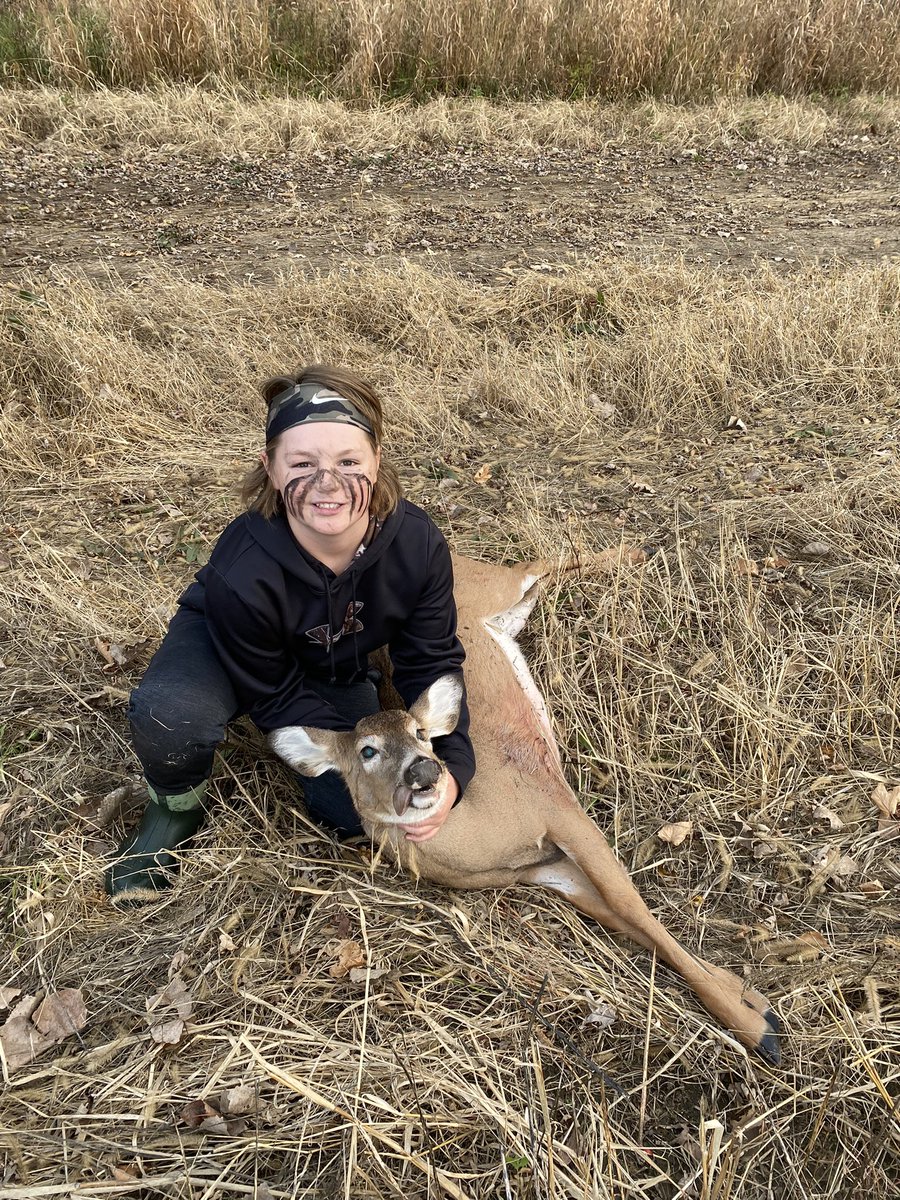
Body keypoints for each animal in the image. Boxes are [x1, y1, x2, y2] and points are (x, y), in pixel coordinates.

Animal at [270, 548, 781, 1065]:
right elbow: (623, 920)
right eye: (367, 751)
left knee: (538, 561)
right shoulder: (545, 869)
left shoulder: (556, 809)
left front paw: (759, 1027)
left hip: (492, 585)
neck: (486, 832)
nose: (424, 771)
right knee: (540, 580)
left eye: (420, 732)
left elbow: (630, 905)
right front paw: (752, 1004)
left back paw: (636, 552)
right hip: (510, 607)